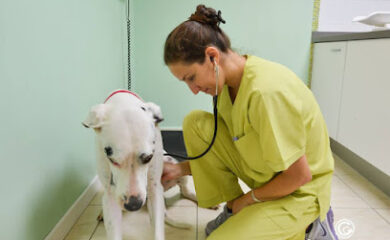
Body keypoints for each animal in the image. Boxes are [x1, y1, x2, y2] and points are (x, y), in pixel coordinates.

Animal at [84, 90, 197, 240]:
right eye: (112, 160)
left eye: (149, 158)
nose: (133, 205)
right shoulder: (110, 193)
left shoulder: (154, 187)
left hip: (172, 162)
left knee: (184, 190)